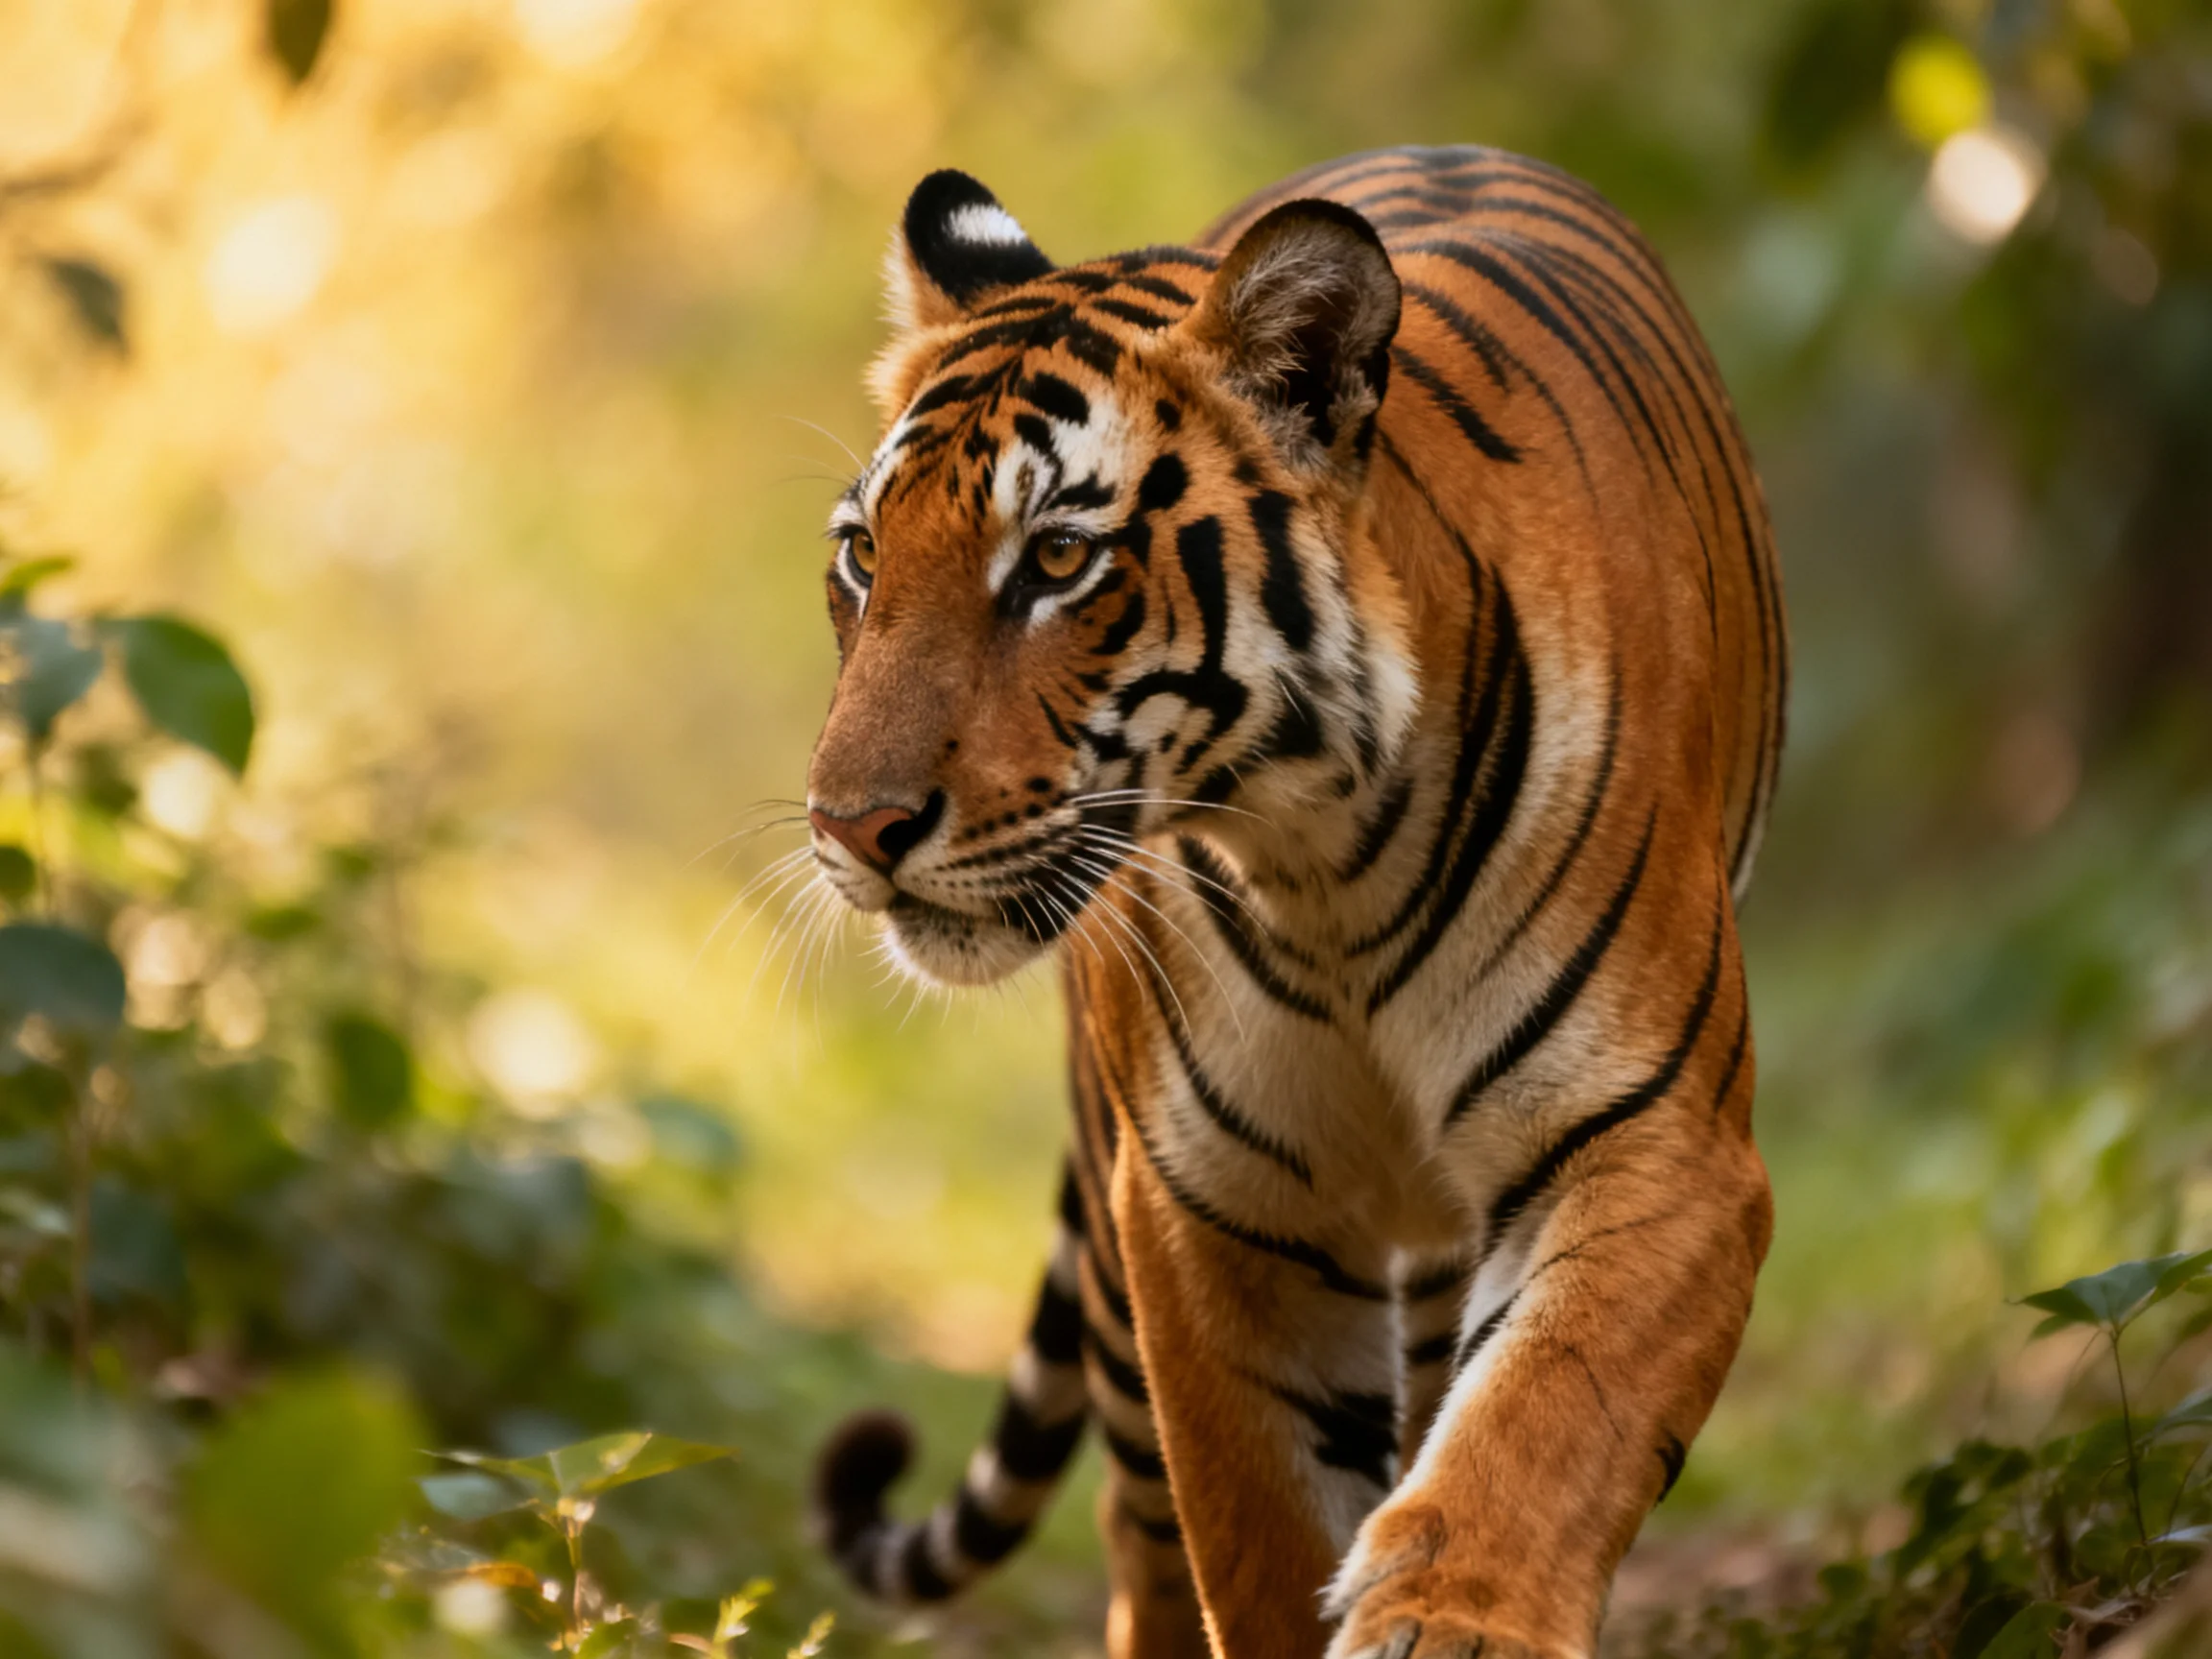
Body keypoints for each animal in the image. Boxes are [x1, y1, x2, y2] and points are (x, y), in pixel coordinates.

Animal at [797, 146, 1786, 1659]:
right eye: (863, 554)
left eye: (1059, 561)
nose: (851, 826)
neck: (1324, 860)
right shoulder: (1210, 1208)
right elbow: (1256, 1534)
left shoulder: (1654, 1138)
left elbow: (1545, 1417)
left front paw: (1455, 1617)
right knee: (1139, 1541)